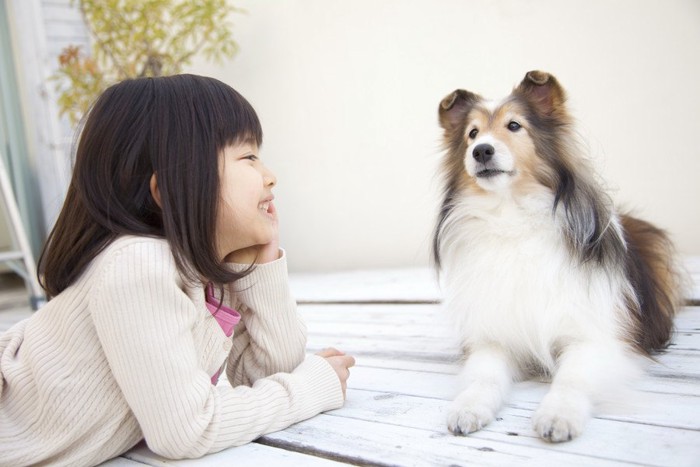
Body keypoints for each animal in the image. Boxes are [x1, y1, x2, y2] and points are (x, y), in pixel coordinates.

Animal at [432, 69, 684, 442]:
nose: (481, 151)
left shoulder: (596, 337)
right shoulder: (493, 336)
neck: (512, 218)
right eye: (472, 133)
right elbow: (484, 376)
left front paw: (558, 416)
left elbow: (571, 378)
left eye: (514, 125)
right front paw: (468, 407)